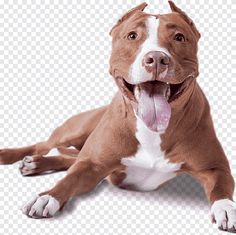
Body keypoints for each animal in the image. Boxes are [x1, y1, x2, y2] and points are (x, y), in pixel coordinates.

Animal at [0, 0, 236, 232]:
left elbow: (221, 188)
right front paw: (47, 197)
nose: (156, 58)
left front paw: (226, 208)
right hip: (75, 130)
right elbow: (70, 178)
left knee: (69, 157)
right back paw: (14, 155)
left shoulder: (215, 168)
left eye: (179, 37)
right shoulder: (93, 164)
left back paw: (36, 164)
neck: (152, 131)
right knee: (45, 145)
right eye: (132, 35)